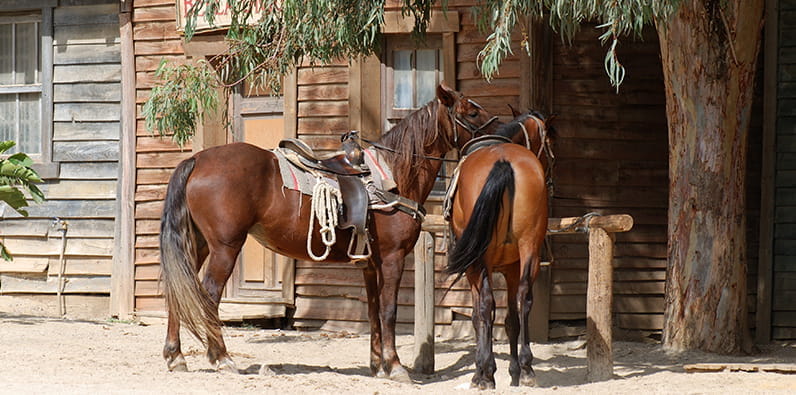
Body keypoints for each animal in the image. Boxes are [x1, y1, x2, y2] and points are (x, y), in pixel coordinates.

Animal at [159, 83, 500, 384]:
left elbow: (373, 311)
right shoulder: (393, 259)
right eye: (471, 112)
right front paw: (395, 366)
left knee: (180, 290)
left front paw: (378, 365)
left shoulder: (370, 264)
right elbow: (389, 310)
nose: (498, 134)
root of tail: (197, 160)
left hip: (198, 245)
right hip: (225, 248)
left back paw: (176, 356)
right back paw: (221, 358)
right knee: (207, 296)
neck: (393, 177)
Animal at [448, 111, 552, 390]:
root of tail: (503, 161)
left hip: (480, 261)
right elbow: (511, 319)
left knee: (486, 305)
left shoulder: (473, 269)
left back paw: (486, 373)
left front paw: (481, 371)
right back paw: (527, 369)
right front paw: (515, 370)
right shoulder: (512, 268)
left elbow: (478, 316)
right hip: (529, 248)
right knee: (525, 297)